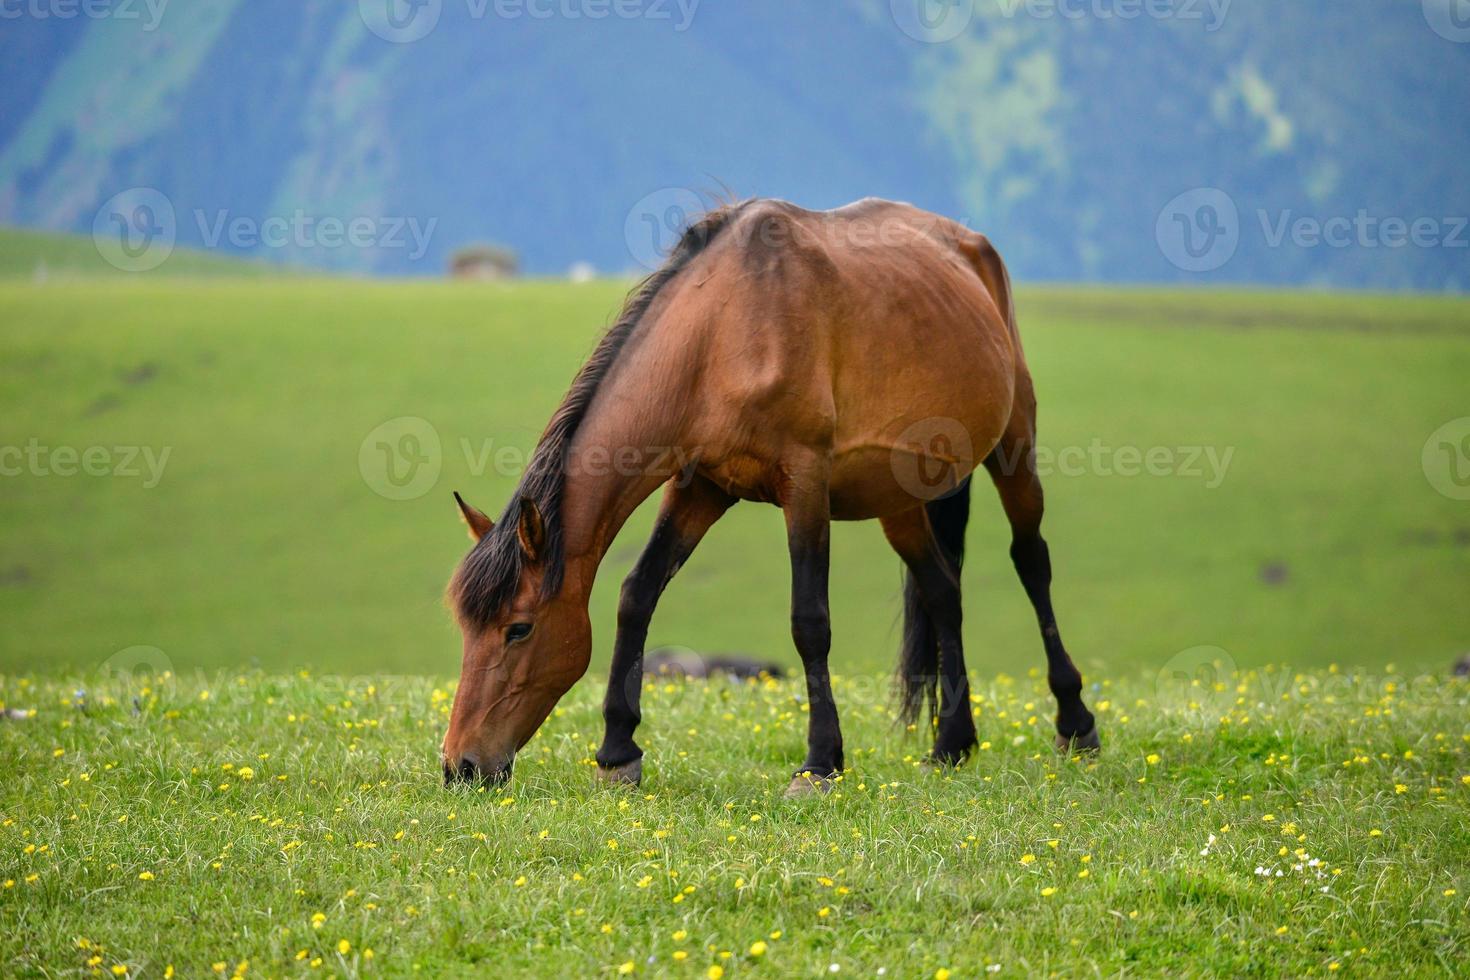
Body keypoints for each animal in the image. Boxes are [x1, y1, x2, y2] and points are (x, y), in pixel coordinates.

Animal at [441, 195, 1099, 793]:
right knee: (943, 590)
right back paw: (952, 744)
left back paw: (1075, 723)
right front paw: (617, 752)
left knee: (1031, 562)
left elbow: (810, 620)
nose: (460, 766)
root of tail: (970, 245)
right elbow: (637, 595)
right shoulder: (699, 488)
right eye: (466, 628)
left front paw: (821, 762)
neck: (722, 331)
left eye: (518, 628)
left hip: (1014, 446)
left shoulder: (804, 482)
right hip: (899, 499)